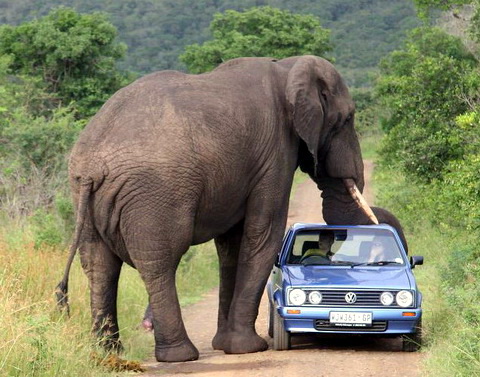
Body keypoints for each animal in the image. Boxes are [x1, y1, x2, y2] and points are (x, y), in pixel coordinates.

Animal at [56, 55, 408, 362]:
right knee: (160, 261)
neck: (287, 67)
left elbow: (231, 246)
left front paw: (224, 345)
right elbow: (264, 232)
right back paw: (179, 356)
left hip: (83, 195)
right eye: (347, 119)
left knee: (99, 265)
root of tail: (92, 165)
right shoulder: (275, 154)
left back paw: (107, 353)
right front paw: (247, 349)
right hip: (154, 194)